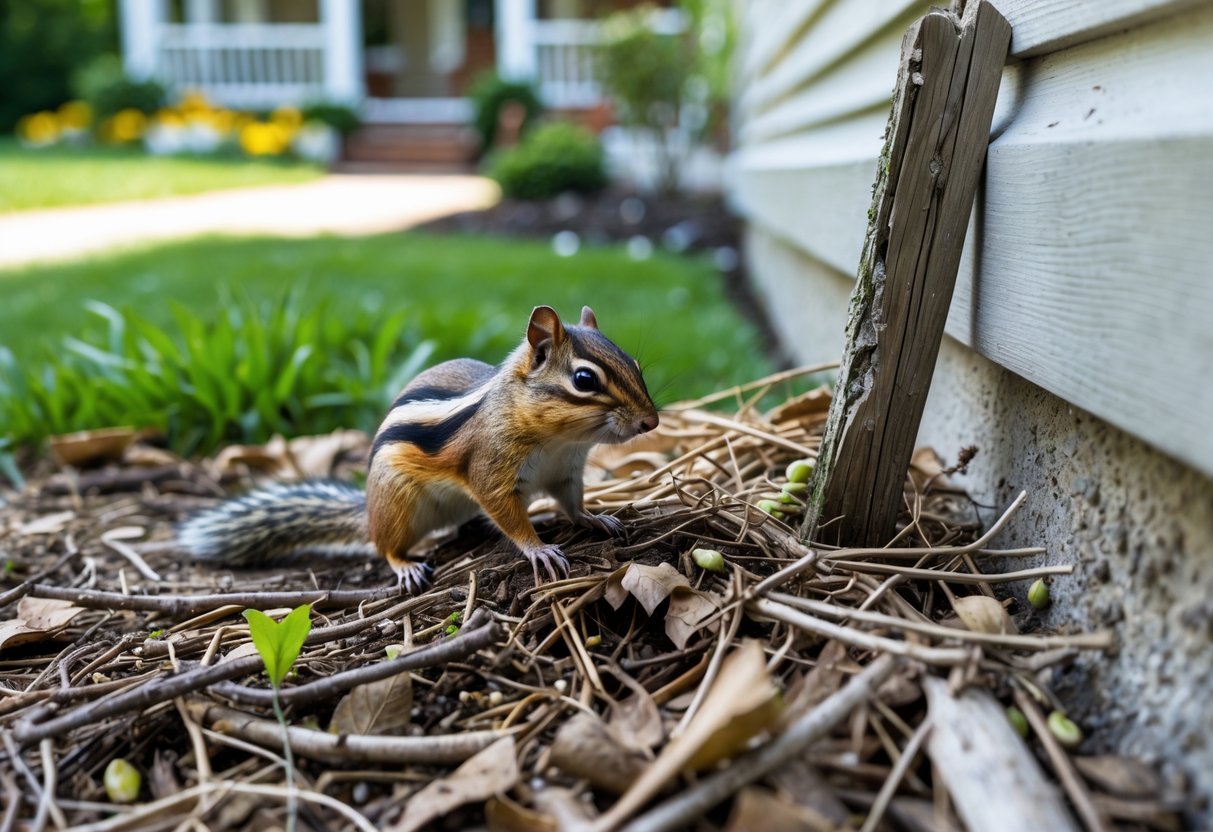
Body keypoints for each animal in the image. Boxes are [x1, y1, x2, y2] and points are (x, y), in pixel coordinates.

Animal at [178, 305, 659, 591]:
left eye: (636, 365)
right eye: (584, 379)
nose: (651, 422)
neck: (562, 441)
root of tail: (369, 510)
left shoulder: (565, 472)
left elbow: (572, 504)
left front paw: (595, 519)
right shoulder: (492, 470)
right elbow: (506, 512)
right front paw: (538, 547)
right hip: (398, 505)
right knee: (384, 545)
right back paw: (405, 564)